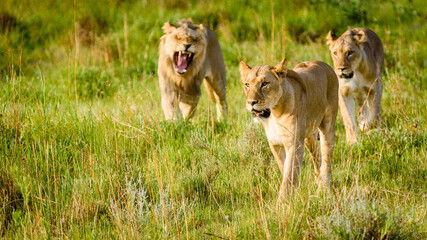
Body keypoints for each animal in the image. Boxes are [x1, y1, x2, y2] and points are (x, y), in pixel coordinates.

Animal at [241, 58, 338, 199]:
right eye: (247, 84)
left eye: (264, 84)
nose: (251, 102)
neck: (274, 114)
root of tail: (323, 63)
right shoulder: (275, 143)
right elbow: (285, 170)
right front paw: (294, 195)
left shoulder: (294, 144)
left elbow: (289, 174)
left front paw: (282, 202)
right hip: (309, 137)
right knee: (317, 158)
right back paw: (317, 182)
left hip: (328, 126)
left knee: (327, 160)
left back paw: (324, 189)